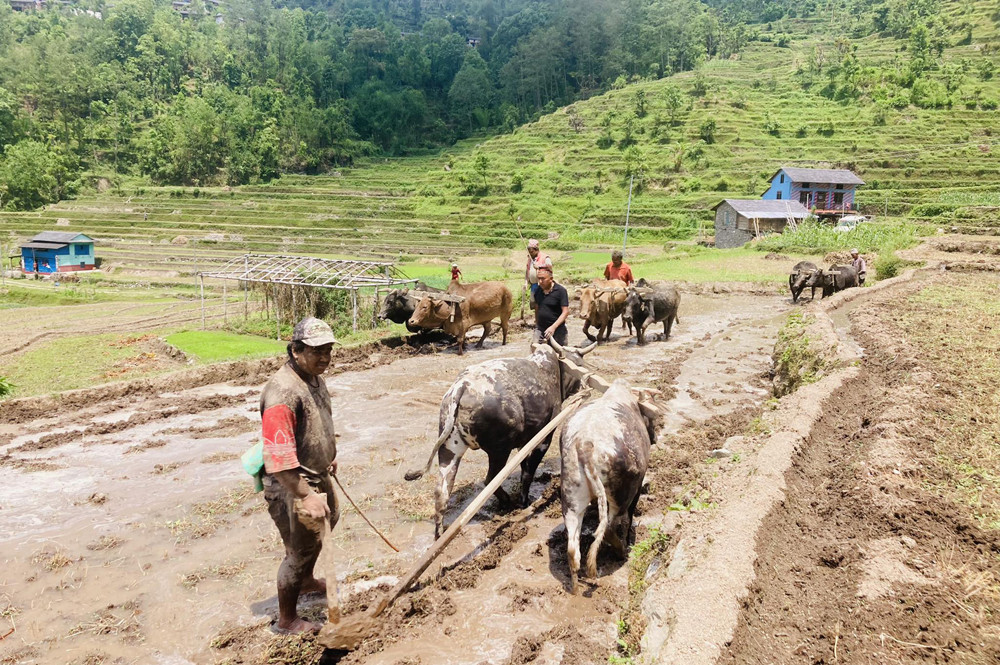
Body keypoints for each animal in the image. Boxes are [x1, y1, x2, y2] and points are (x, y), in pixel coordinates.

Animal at [406, 340, 592, 536]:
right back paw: (506, 502)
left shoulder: (524, 442)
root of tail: (462, 386)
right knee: (490, 480)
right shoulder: (543, 438)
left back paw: (440, 533)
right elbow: (528, 472)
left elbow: (524, 467)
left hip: (450, 449)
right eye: (579, 365)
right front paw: (524, 502)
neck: (550, 369)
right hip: (499, 450)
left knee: (442, 491)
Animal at [564, 378, 656, 592]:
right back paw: (622, 551)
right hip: (620, 497)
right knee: (608, 528)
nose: (655, 438)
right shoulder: (637, 487)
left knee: (573, 548)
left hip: (572, 499)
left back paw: (575, 587)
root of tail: (585, 443)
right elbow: (629, 518)